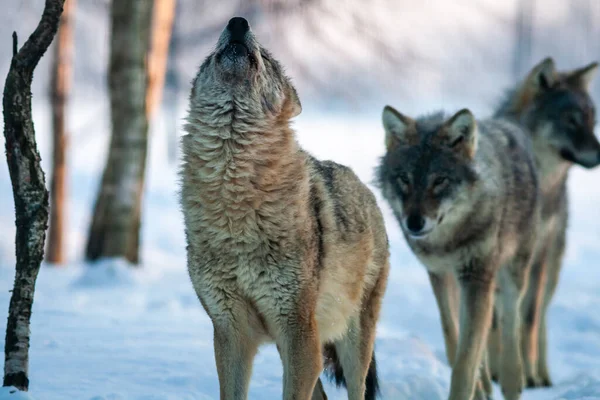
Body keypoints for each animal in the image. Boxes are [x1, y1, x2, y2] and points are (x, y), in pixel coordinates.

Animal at [178, 17, 390, 398]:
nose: (238, 22)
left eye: (266, 56)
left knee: (358, 388)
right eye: (212, 53)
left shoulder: (297, 331)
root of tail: (364, 187)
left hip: (350, 345)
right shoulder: (229, 333)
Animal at [378, 107, 540, 400]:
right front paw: (478, 386)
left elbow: (466, 358)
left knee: (511, 320)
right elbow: (454, 338)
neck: (448, 241)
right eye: (404, 179)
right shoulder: (440, 274)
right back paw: (485, 384)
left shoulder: (476, 277)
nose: (414, 223)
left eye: (440, 181)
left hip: (513, 272)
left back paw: (512, 380)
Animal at [492, 56, 600, 388]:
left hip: (551, 267)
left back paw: (541, 373)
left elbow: (527, 319)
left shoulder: (536, 255)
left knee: (538, 318)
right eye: (572, 120)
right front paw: (496, 371)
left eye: (592, 120)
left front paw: (526, 374)